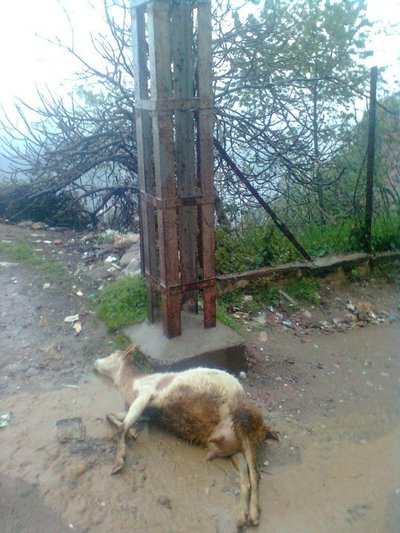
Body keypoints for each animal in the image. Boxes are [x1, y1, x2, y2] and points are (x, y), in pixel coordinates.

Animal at [94, 342, 278, 524]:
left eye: (114, 353)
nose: (95, 363)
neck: (133, 382)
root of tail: (265, 430)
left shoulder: (145, 396)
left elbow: (122, 427)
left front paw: (118, 463)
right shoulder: (148, 412)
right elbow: (112, 416)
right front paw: (133, 433)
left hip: (245, 425)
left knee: (256, 475)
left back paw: (254, 515)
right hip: (235, 450)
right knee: (245, 478)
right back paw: (241, 518)